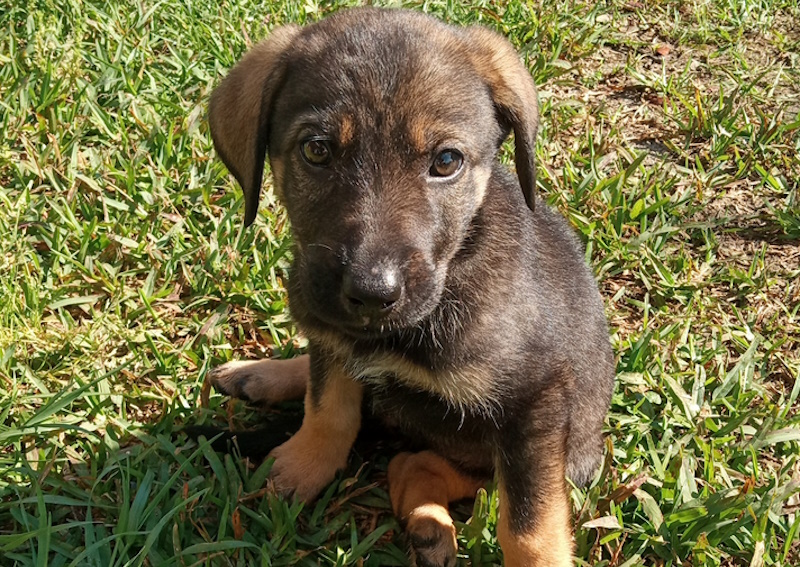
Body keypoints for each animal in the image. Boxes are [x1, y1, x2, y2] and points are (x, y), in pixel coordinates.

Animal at [205, 6, 612, 564]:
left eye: (447, 162)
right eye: (317, 150)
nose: (372, 294)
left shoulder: (536, 403)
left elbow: (529, 522)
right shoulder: (335, 334)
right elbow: (328, 407)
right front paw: (302, 466)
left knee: (422, 466)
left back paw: (428, 525)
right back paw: (262, 374)